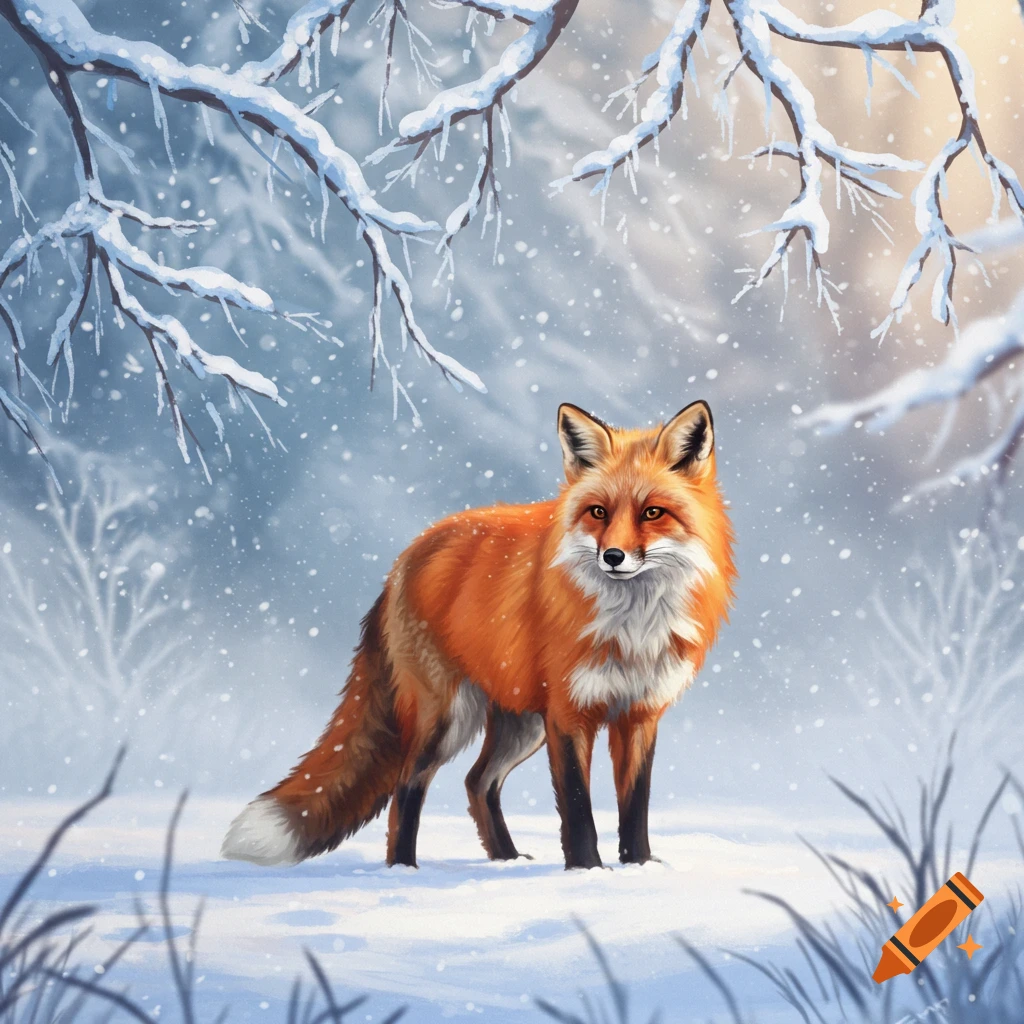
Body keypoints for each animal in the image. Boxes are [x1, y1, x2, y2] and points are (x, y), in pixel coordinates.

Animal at [222, 400, 736, 870]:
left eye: (653, 513)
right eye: (598, 512)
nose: (612, 556)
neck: (632, 628)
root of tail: (406, 557)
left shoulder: (639, 714)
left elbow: (635, 807)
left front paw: (638, 869)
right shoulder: (569, 715)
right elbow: (577, 808)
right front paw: (587, 872)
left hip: (520, 721)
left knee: (477, 782)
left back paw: (504, 860)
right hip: (448, 717)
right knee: (408, 785)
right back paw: (403, 869)